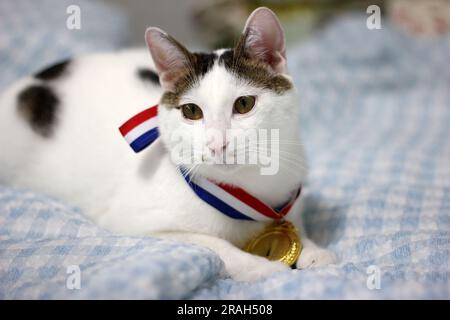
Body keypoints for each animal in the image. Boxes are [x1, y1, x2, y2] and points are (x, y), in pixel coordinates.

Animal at [0, 7, 334, 282]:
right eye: (191, 111)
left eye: (244, 104)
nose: (217, 144)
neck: (248, 188)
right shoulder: (138, 225)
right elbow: (216, 246)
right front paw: (263, 267)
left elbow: (299, 228)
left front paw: (314, 250)